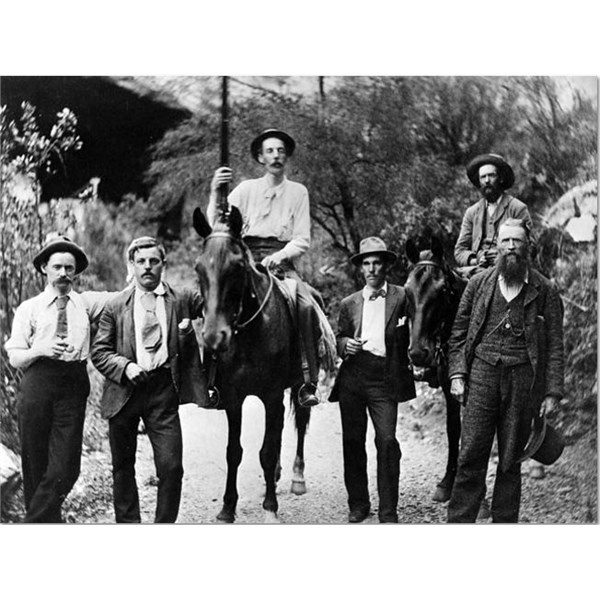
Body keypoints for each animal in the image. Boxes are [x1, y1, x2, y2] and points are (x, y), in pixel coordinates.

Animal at [192, 205, 314, 520]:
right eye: (199, 268)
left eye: (236, 268)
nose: (214, 336)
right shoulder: (233, 398)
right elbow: (234, 452)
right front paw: (227, 507)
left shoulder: (271, 395)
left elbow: (267, 452)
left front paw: (270, 506)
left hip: (299, 386)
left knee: (300, 423)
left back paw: (297, 477)